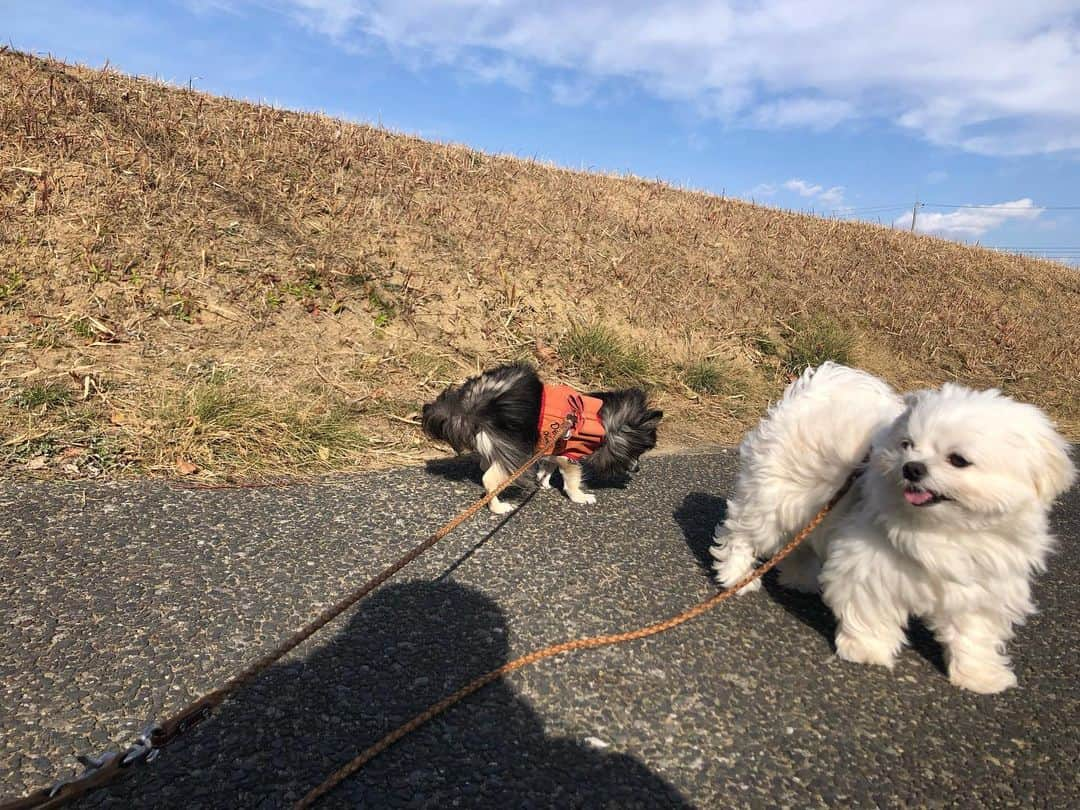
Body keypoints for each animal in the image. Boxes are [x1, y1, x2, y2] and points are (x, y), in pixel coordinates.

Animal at [419, 367, 656, 516]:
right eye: (636, 452)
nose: (638, 469)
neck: (598, 417)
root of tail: (473, 407)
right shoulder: (568, 455)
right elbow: (572, 480)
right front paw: (580, 497)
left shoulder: (552, 445)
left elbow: (548, 466)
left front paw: (543, 481)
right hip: (515, 450)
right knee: (489, 479)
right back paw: (498, 507)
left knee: (485, 464)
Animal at [712, 365, 1075, 695]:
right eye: (907, 445)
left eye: (958, 460)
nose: (912, 468)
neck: (945, 528)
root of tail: (819, 387)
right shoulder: (868, 562)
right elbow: (869, 609)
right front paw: (866, 650)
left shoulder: (983, 582)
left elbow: (974, 632)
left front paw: (980, 676)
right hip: (772, 501)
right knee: (740, 534)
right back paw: (737, 576)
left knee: (799, 545)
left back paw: (801, 580)